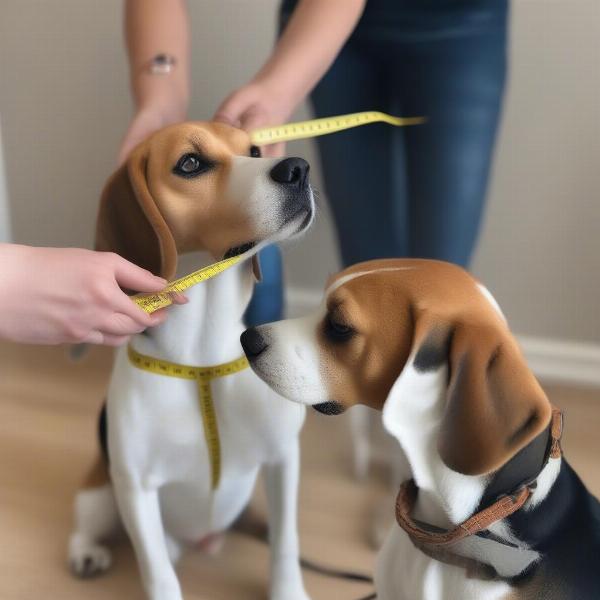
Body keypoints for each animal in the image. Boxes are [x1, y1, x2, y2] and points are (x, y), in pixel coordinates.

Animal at [68, 122, 316, 600]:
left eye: (254, 151)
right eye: (190, 163)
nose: (298, 167)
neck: (200, 359)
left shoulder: (283, 459)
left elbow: (286, 543)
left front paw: (288, 589)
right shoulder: (137, 489)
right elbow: (159, 574)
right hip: (103, 492)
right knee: (86, 521)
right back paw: (86, 552)